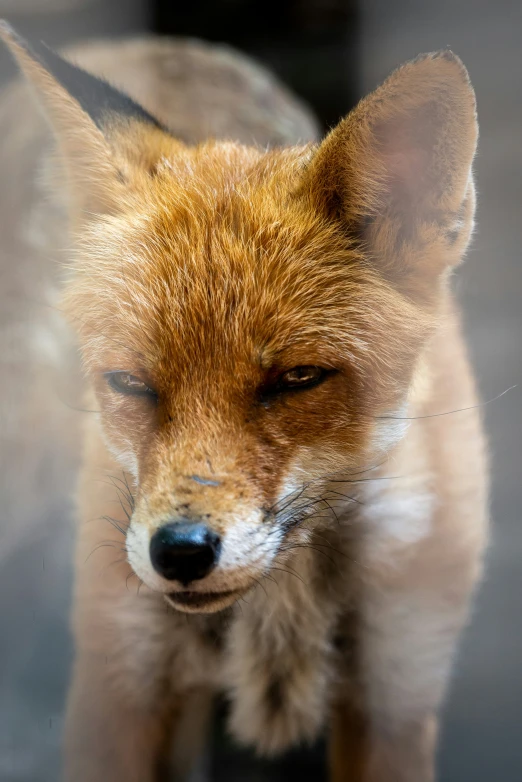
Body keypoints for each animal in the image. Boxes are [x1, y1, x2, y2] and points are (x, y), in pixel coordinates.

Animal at [0, 18, 488, 782]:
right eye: (131, 383)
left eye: (296, 378)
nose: (179, 552)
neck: (280, 608)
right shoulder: (119, 681)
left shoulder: (397, 693)